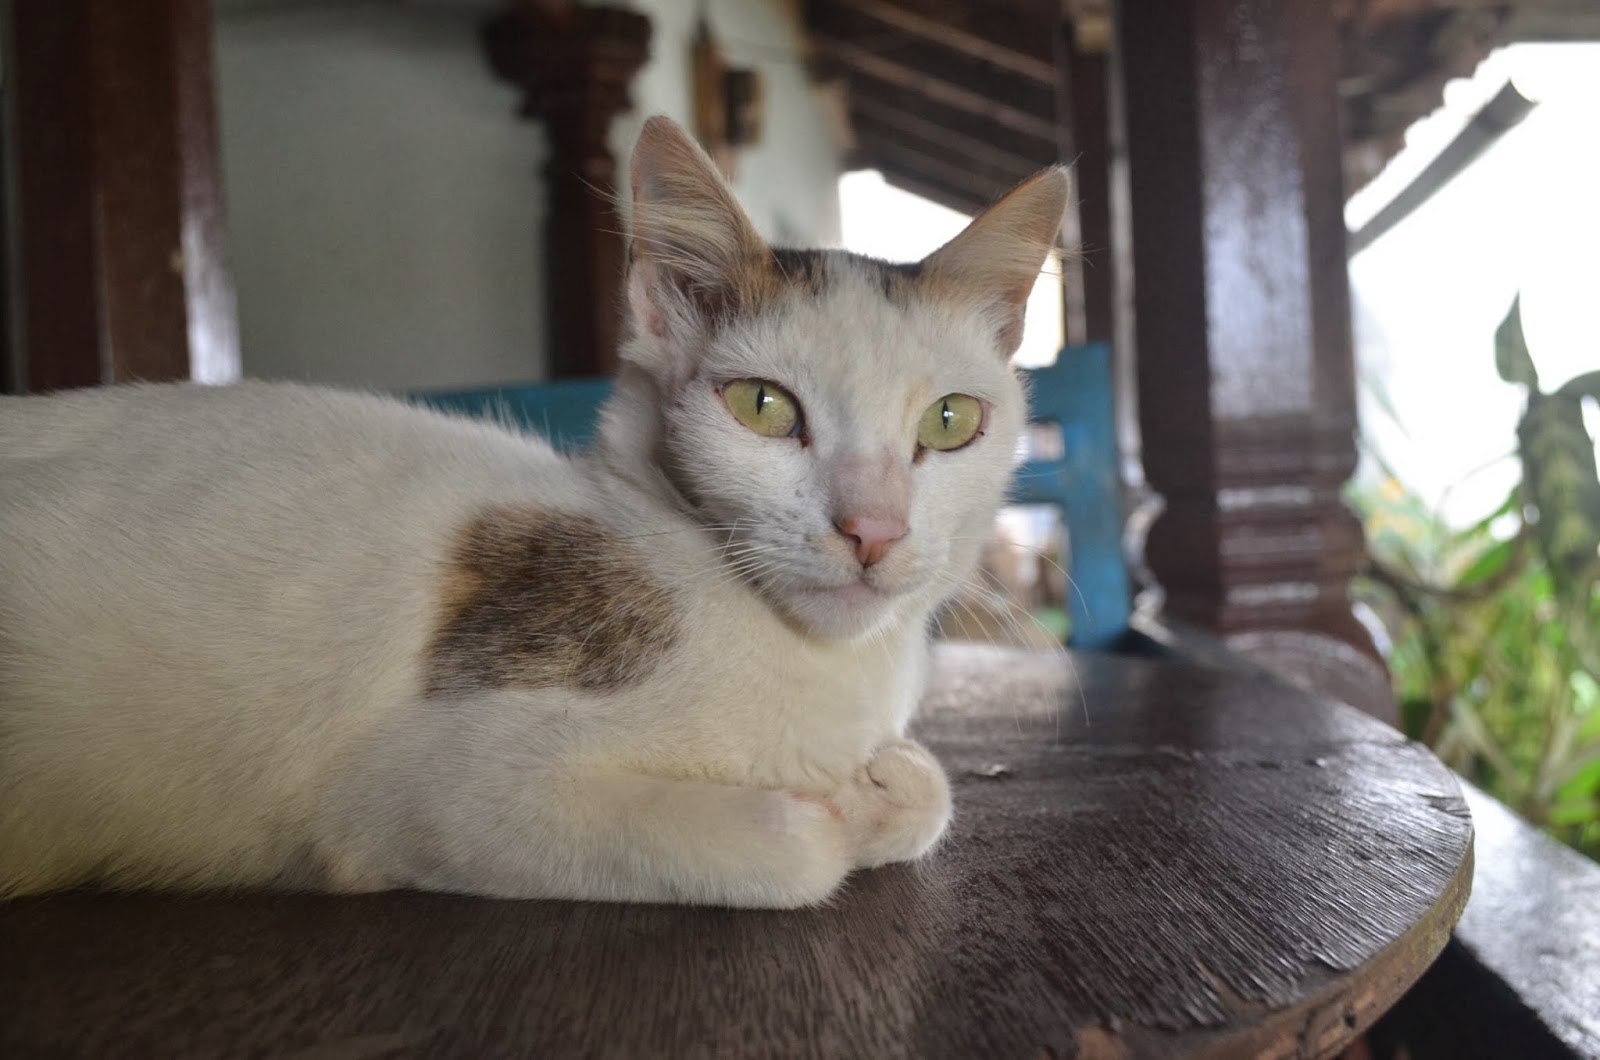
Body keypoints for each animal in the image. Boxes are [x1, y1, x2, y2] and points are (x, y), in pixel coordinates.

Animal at [0, 116, 1068, 908]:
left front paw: (884, 785)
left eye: (950, 421)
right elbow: (802, 849)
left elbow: (933, 789)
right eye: (764, 406)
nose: (872, 529)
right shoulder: (422, 794)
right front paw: (838, 807)